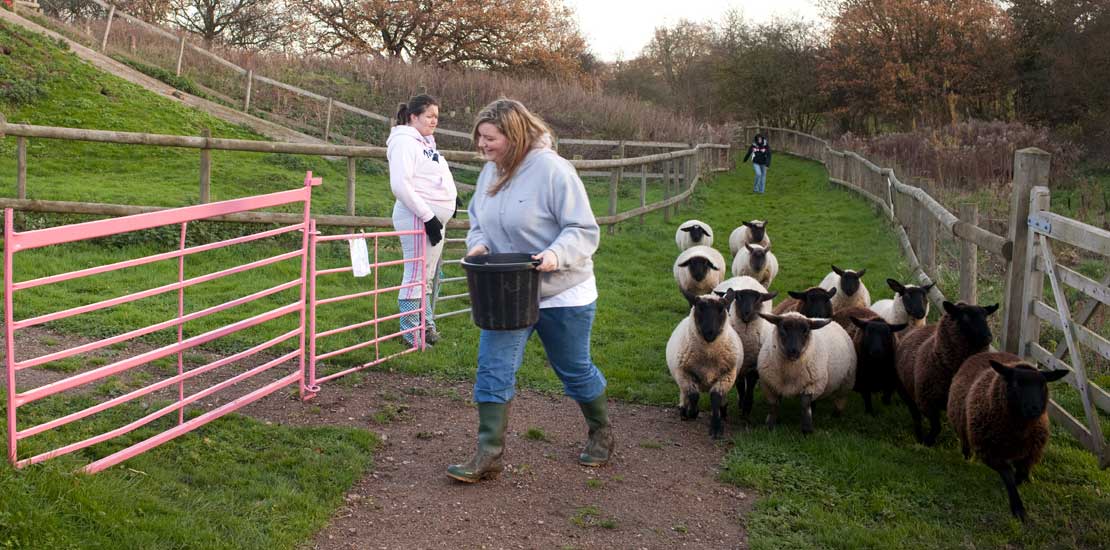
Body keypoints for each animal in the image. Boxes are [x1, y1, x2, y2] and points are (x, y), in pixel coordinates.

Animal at [661, 293, 741, 440]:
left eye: (721, 309)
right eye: (700, 308)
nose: (710, 332)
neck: (708, 354)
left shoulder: (727, 375)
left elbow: (715, 397)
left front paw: (716, 427)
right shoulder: (684, 373)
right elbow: (694, 395)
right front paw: (692, 412)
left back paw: (723, 411)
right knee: (685, 392)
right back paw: (683, 411)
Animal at [714, 277, 777, 420]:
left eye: (758, 299)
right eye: (738, 297)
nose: (746, 313)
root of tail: (746, 277)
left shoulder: (754, 367)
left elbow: (750, 387)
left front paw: (747, 409)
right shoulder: (738, 365)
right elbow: (741, 386)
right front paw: (742, 404)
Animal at [896, 302, 1003, 448]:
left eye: (985, 317)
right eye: (965, 317)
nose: (988, 337)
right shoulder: (927, 401)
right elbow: (936, 427)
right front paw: (928, 442)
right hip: (905, 390)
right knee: (915, 414)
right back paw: (919, 434)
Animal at [945, 351, 1065, 522]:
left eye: (1042, 384)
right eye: (1017, 384)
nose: (1035, 408)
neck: (1018, 430)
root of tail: (990, 352)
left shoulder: (1031, 453)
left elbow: (1021, 473)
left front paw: (1020, 483)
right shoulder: (989, 452)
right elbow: (1008, 474)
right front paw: (1018, 509)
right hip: (963, 427)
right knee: (965, 443)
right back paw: (966, 457)